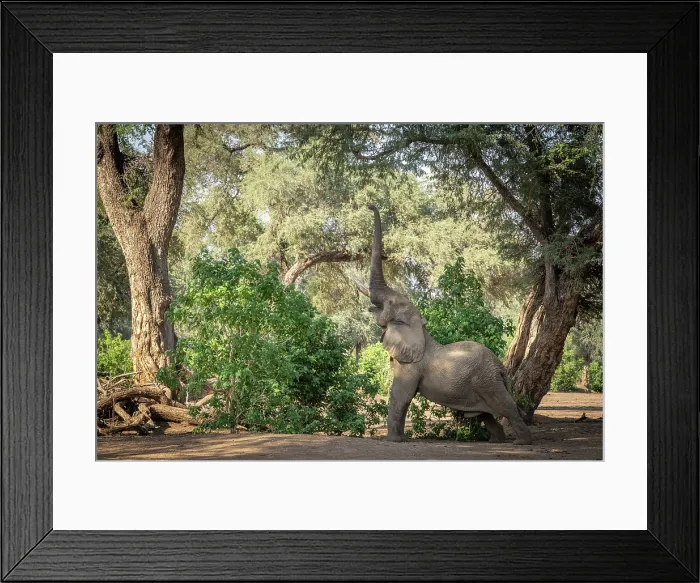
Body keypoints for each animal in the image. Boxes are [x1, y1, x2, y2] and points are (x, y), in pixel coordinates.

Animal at [355, 204, 533, 445]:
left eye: (391, 303)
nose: (370, 206)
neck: (420, 329)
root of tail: (500, 367)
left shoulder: (411, 366)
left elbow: (401, 395)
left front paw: (392, 441)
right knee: (486, 416)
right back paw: (496, 442)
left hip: (488, 382)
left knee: (508, 408)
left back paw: (521, 443)